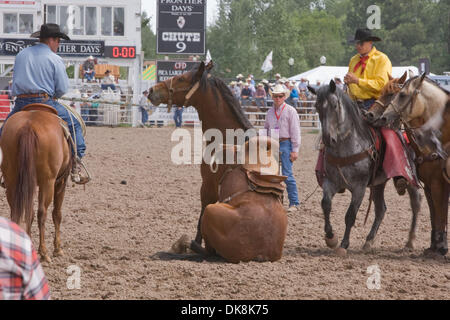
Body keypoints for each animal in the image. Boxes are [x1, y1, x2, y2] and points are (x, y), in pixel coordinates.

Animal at [0, 104, 72, 262]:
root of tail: (29, 125)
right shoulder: (60, 182)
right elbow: (57, 213)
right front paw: (58, 249)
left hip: (12, 180)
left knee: (19, 212)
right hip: (47, 182)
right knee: (41, 212)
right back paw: (44, 252)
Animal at [149, 62, 288, 262]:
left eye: (182, 77)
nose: (151, 90)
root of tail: (261, 254)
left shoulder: (207, 187)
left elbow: (199, 222)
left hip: (212, 210)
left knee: (208, 251)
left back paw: (184, 244)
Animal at [310, 81, 422, 256]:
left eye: (335, 105)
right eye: (316, 106)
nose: (328, 139)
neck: (347, 146)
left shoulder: (359, 187)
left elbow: (350, 215)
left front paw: (343, 244)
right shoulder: (331, 182)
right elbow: (326, 204)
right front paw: (330, 237)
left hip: (411, 180)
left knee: (416, 203)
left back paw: (410, 242)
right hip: (378, 184)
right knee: (381, 209)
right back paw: (368, 241)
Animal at [376, 74, 450, 255]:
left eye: (400, 95)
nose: (374, 115)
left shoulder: (439, 183)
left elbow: (441, 212)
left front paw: (441, 247)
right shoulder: (429, 184)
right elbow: (434, 214)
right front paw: (434, 246)